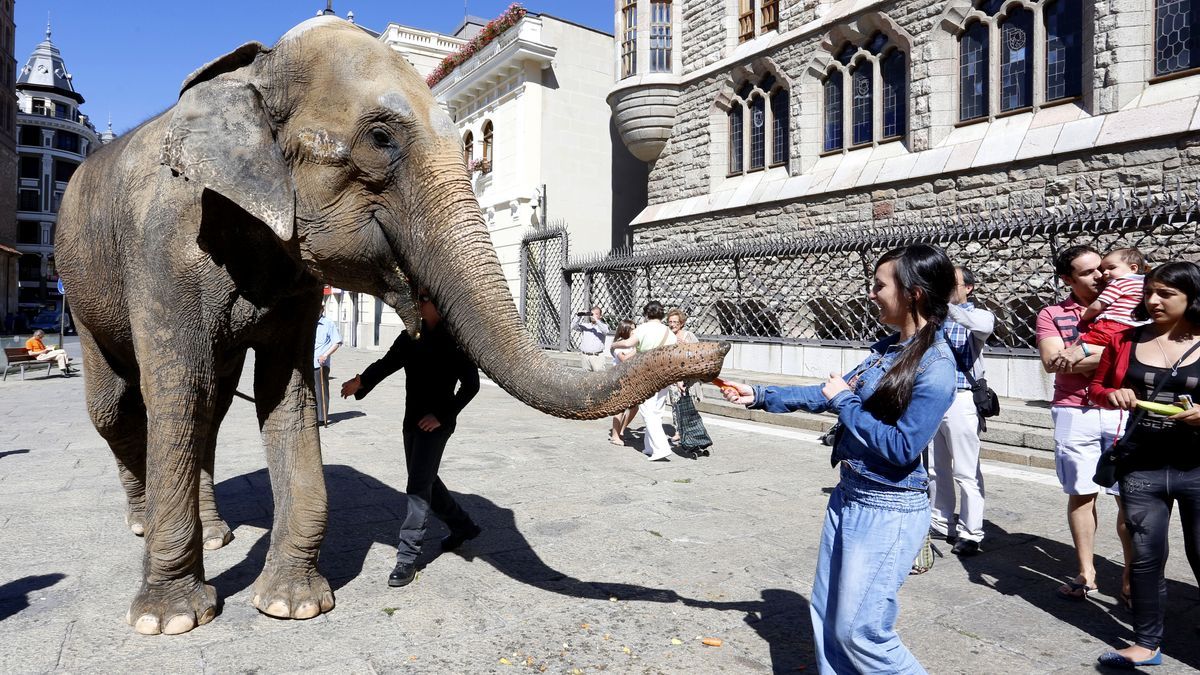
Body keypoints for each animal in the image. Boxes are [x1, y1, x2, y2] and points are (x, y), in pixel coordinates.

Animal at [56, 17, 724, 634]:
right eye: (380, 139)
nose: (714, 353)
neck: (256, 69)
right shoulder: (163, 248)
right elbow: (176, 391)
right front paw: (168, 620)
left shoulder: (296, 283)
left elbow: (285, 395)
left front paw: (294, 605)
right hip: (80, 286)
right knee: (124, 408)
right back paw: (142, 522)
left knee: (213, 408)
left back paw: (218, 534)